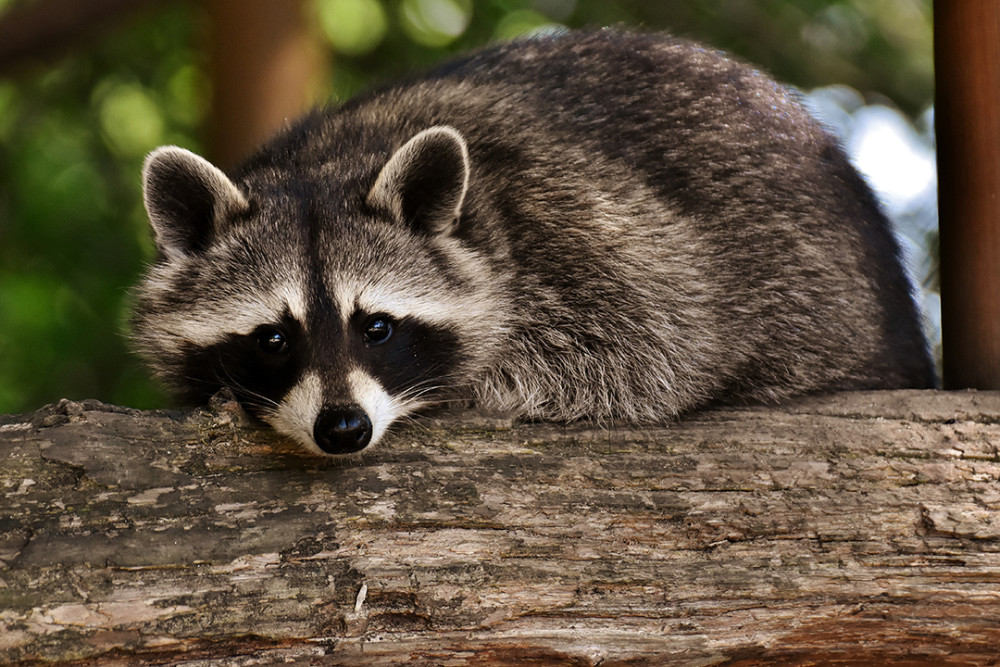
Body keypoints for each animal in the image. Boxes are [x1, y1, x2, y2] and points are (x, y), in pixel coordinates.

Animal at [129, 28, 932, 456]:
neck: (328, 163)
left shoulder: (590, 232)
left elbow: (654, 352)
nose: (344, 429)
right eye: (272, 338)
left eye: (377, 327)